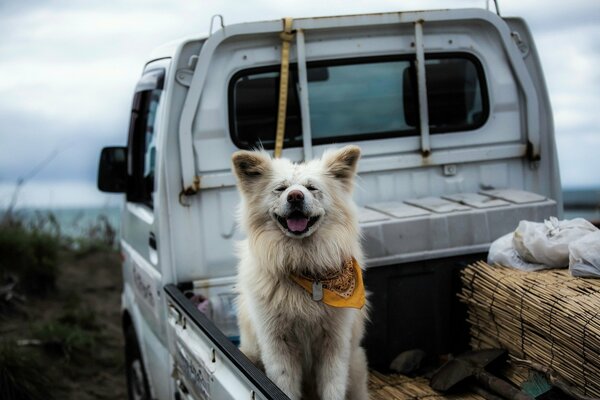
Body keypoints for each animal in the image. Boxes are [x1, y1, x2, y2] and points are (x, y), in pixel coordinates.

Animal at [232, 146, 368, 400]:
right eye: (281, 189)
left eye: (312, 188)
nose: (295, 196)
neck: (304, 266)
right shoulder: (277, 344)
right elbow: (284, 386)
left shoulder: (334, 343)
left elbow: (333, 387)